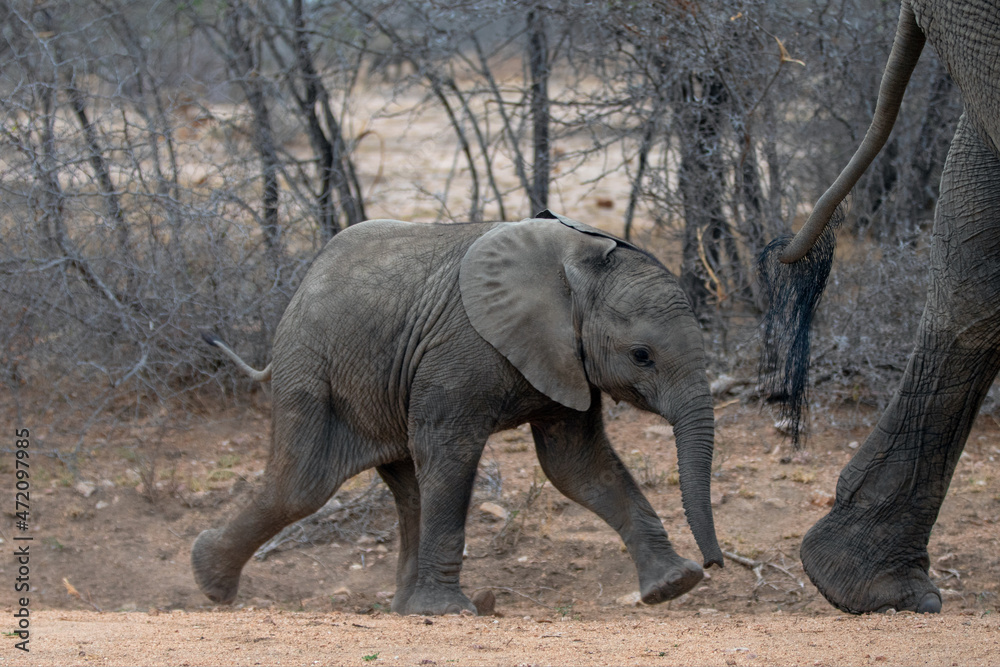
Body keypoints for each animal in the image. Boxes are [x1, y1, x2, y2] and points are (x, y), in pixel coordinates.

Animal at [191, 213, 724, 616]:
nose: (715, 564)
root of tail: (301, 286)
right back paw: (209, 582)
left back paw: (402, 609)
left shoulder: (565, 361)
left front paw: (674, 585)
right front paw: (447, 612)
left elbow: (579, 467)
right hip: (309, 366)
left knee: (406, 489)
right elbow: (452, 453)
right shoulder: (460, 352)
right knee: (301, 485)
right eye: (641, 356)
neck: (575, 265)